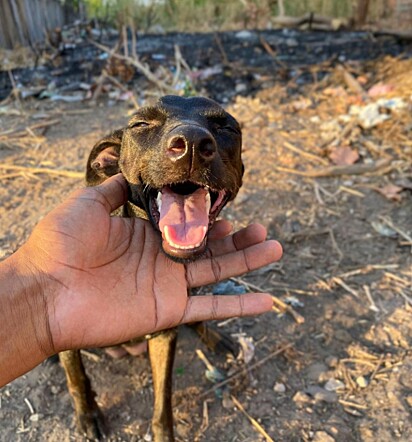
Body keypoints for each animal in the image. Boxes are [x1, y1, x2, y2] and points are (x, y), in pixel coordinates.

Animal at [59, 95, 243, 440]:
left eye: (226, 126)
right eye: (141, 124)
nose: (192, 144)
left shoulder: (163, 335)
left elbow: (163, 399)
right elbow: (77, 378)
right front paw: (89, 415)